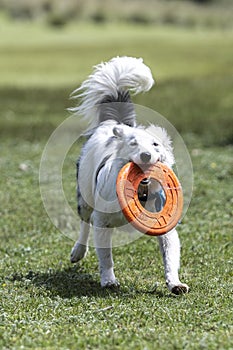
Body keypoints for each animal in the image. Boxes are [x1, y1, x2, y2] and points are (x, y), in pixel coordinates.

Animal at [69, 57, 189, 296]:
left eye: (155, 144)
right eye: (133, 144)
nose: (146, 155)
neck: (141, 191)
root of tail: (111, 124)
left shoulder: (165, 223)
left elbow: (170, 255)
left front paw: (175, 283)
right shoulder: (102, 220)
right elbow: (106, 256)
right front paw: (108, 280)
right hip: (85, 196)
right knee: (84, 222)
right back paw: (78, 251)